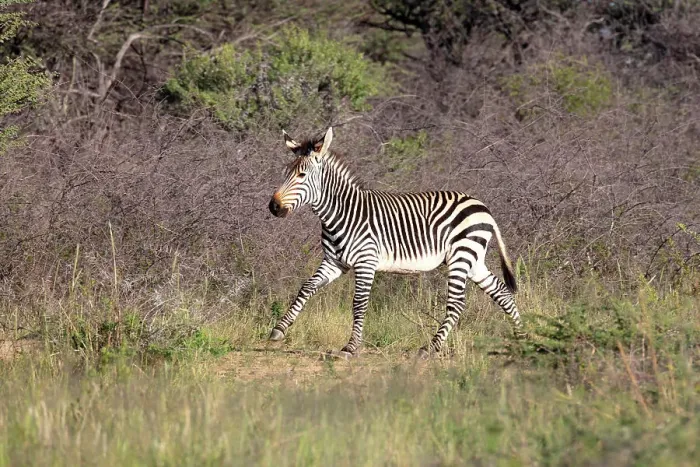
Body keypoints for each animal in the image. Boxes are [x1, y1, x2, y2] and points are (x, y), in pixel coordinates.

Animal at [268, 127, 524, 359]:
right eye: (286, 173)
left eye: (301, 176)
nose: (273, 207)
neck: (342, 213)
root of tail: (483, 207)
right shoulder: (334, 262)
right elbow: (306, 287)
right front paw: (279, 329)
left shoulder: (366, 262)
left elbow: (359, 304)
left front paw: (351, 348)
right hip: (473, 260)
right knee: (501, 292)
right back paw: (521, 338)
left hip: (462, 255)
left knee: (457, 303)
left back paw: (430, 348)